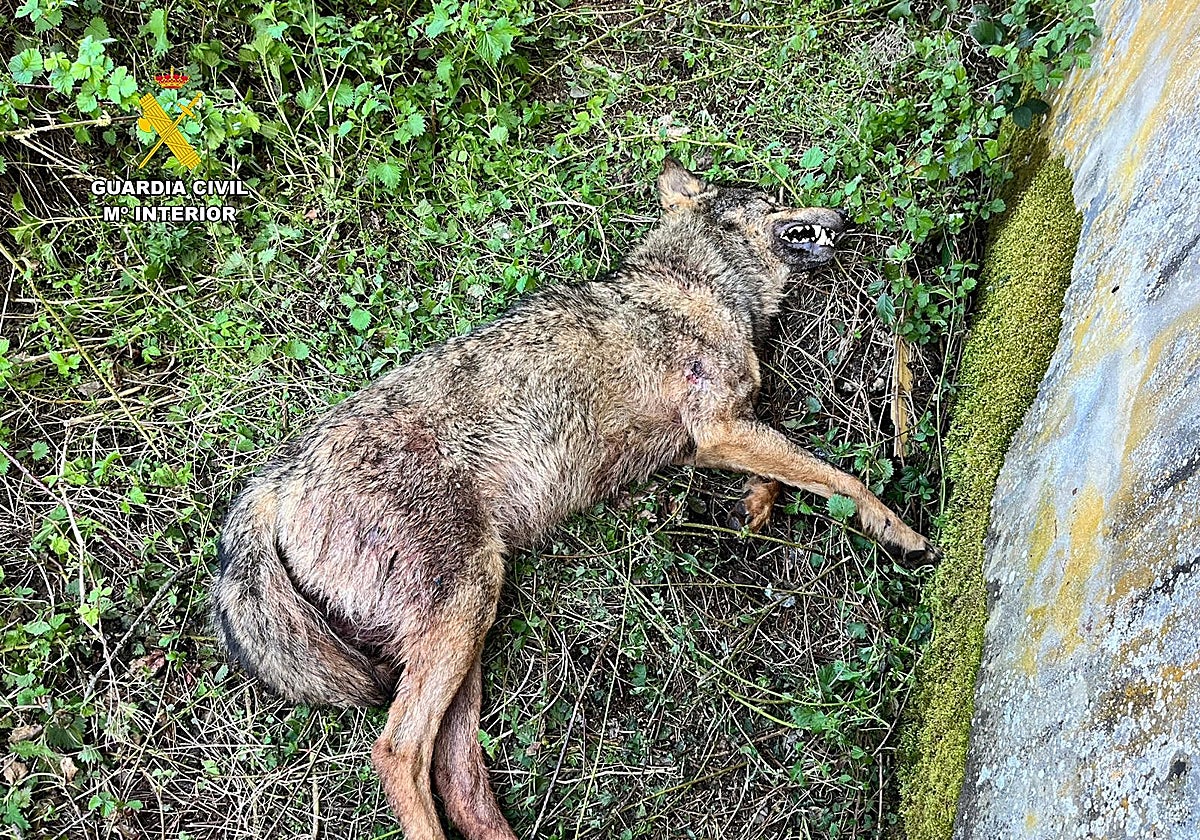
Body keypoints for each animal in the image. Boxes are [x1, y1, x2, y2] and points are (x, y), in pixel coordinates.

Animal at [210, 160, 936, 840]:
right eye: (772, 196)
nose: (844, 216)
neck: (698, 284)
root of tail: (279, 480)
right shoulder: (718, 427)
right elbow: (842, 478)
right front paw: (898, 530)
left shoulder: (715, 435)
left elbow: (792, 470)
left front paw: (756, 506)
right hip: (465, 610)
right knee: (397, 754)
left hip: (464, 638)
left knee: (459, 780)